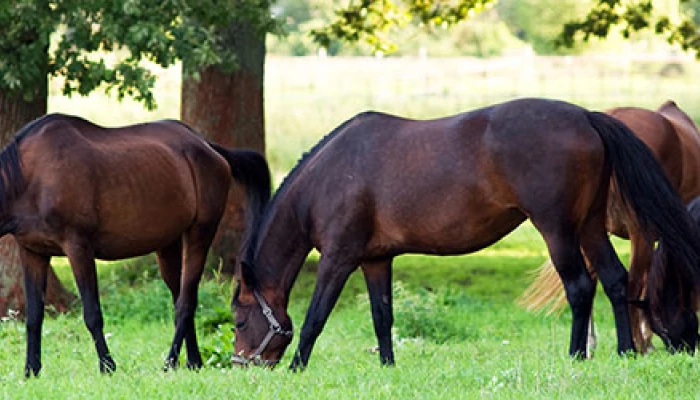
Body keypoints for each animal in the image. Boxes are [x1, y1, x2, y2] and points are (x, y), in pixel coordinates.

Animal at [1, 114, 271, 377]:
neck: (32, 178)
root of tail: (209, 147)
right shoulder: (33, 253)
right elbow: (34, 316)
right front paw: (31, 370)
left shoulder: (78, 248)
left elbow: (92, 313)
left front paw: (107, 366)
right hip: (168, 246)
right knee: (180, 298)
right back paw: (193, 362)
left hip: (199, 234)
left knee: (185, 303)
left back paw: (170, 362)